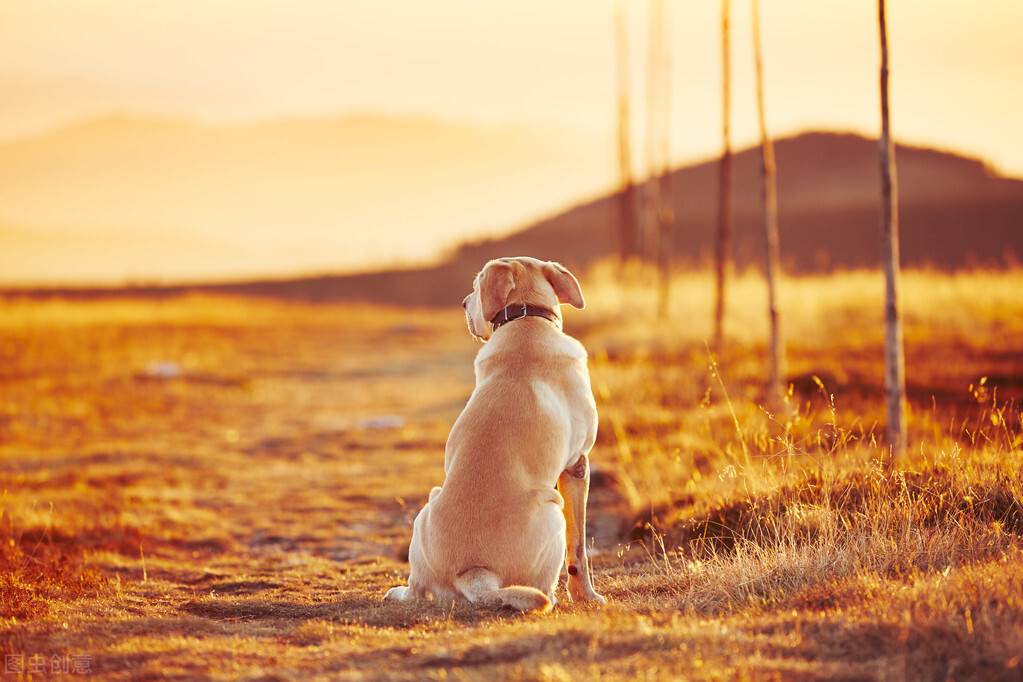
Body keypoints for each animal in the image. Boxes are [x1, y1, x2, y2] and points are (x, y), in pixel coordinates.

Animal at [384, 255, 605, 613]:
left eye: (475, 286)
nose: (463, 303)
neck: (526, 320)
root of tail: (473, 573)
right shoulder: (578, 464)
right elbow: (579, 550)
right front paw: (587, 596)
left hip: (426, 508)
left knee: (418, 588)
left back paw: (397, 592)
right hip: (552, 510)